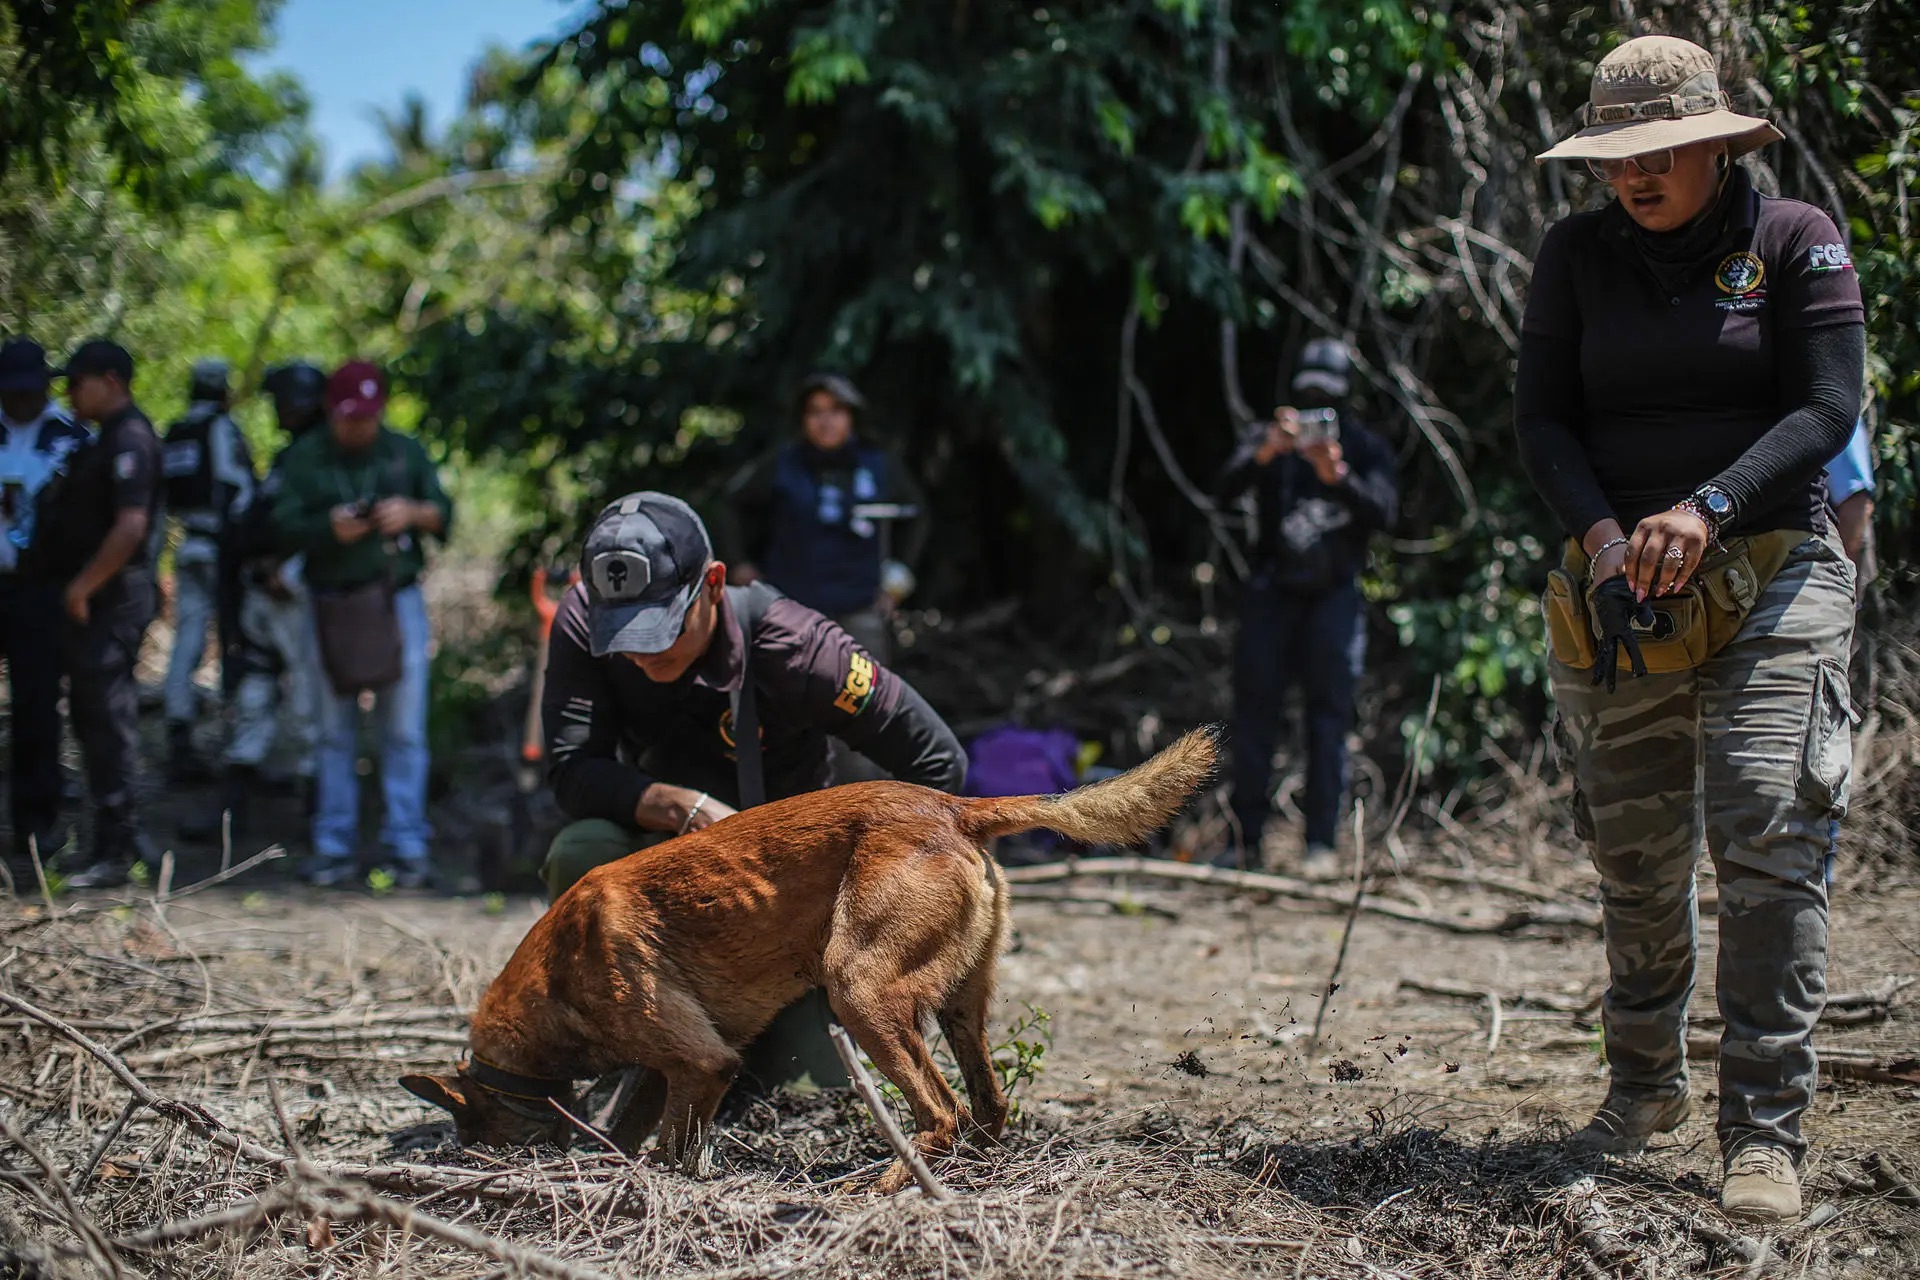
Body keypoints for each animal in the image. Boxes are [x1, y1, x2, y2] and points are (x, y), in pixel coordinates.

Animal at [403, 725, 1213, 1197]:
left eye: (474, 1137)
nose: (474, 1168)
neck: (554, 981)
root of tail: (955, 808)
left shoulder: (699, 1062)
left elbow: (667, 1147)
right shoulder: (670, 1067)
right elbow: (639, 1132)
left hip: (860, 993)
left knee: (942, 1110)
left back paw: (886, 1186)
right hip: (958, 1005)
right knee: (987, 1106)